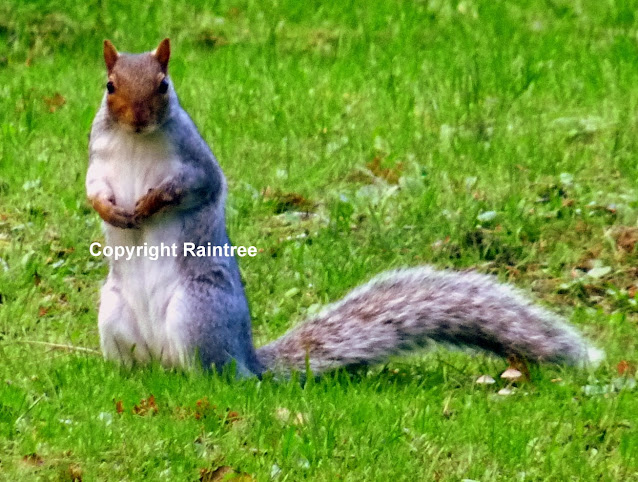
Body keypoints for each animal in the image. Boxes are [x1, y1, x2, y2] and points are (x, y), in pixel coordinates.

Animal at [85, 38, 604, 376]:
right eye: (109, 86)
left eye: (163, 84)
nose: (138, 118)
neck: (136, 142)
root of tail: (247, 360)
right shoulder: (97, 161)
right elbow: (92, 190)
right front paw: (113, 212)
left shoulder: (195, 162)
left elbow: (195, 187)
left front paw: (149, 204)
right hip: (113, 315)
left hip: (195, 314)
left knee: (208, 375)